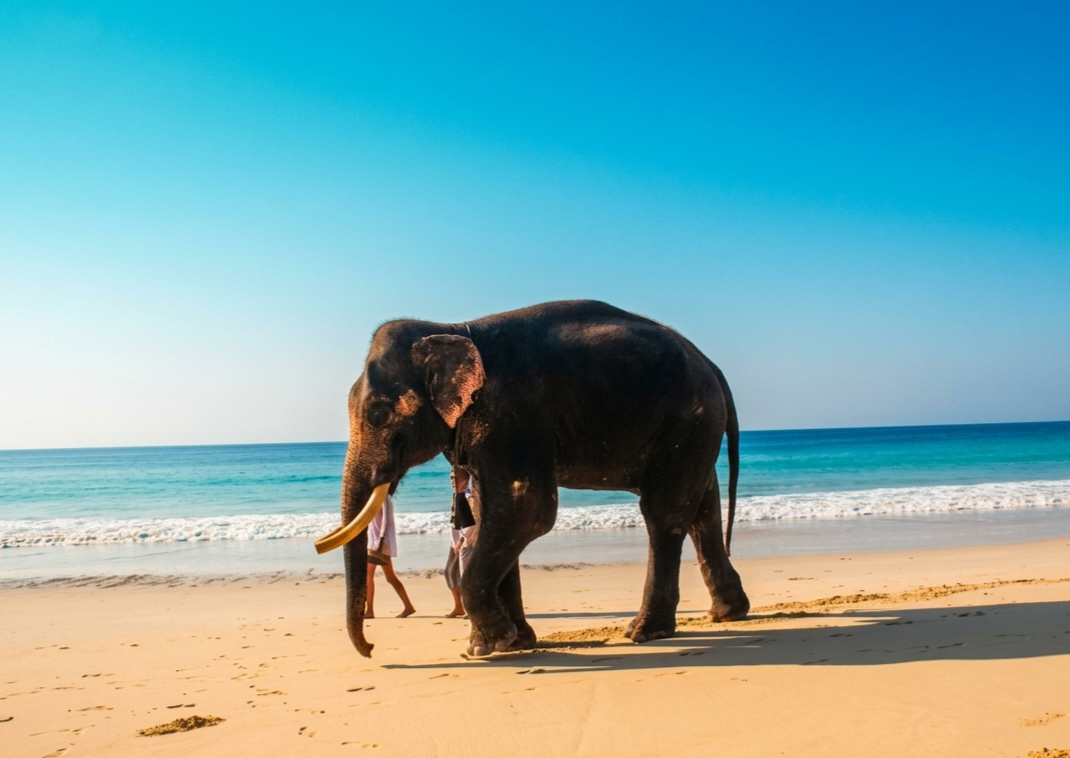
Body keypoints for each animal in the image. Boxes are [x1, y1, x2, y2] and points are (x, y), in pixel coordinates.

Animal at [315, 300, 749, 658]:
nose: (371, 648)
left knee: (664, 513)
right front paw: (513, 643)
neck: (452, 328)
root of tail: (711, 365)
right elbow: (490, 516)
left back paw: (643, 632)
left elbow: (526, 512)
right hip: (693, 427)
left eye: (378, 414)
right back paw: (726, 614)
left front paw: (486, 647)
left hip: (685, 419)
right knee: (701, 508)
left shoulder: (512, 417)